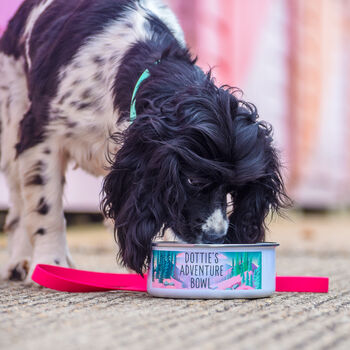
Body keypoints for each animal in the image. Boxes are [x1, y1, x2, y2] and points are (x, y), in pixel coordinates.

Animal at [0, 0, 288, 282]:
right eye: (193, 180)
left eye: (236, 188)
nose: (216, 237)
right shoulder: (41, 136)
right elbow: (45, 208)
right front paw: (50, 262)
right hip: (12, 119)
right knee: (18, 203)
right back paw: (19, 260)